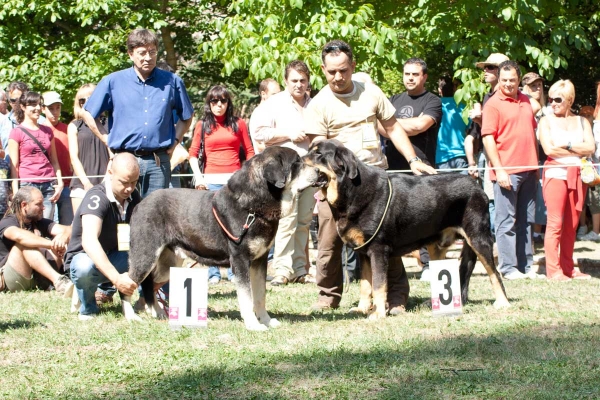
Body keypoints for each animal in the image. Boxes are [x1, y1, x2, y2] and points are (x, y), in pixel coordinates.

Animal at [123, 145, 324, 330]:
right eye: (296, 162)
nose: (320, 172)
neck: (253, 209)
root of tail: (140, 204)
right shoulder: (240, 260)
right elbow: (246, 297)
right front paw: (253, 324)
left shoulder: (259, 260)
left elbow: (260, 296)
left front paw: (266, 321)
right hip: (146, 256)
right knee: (127, 283)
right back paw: (131, 316)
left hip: (168, 264)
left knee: (150, 286)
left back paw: (158, 313)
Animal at [304, 139, 510, 318]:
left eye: (318, 154)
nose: (300, 159)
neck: (352, 191)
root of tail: (477, 187)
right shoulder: (363, 253)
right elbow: (365, 284)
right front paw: (362, 309)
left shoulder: (378, 250)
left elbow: (378, 284)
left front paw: (378, 313)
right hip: (437, 248)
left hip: (478, 238)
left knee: (494, 273)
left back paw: (503, 302)